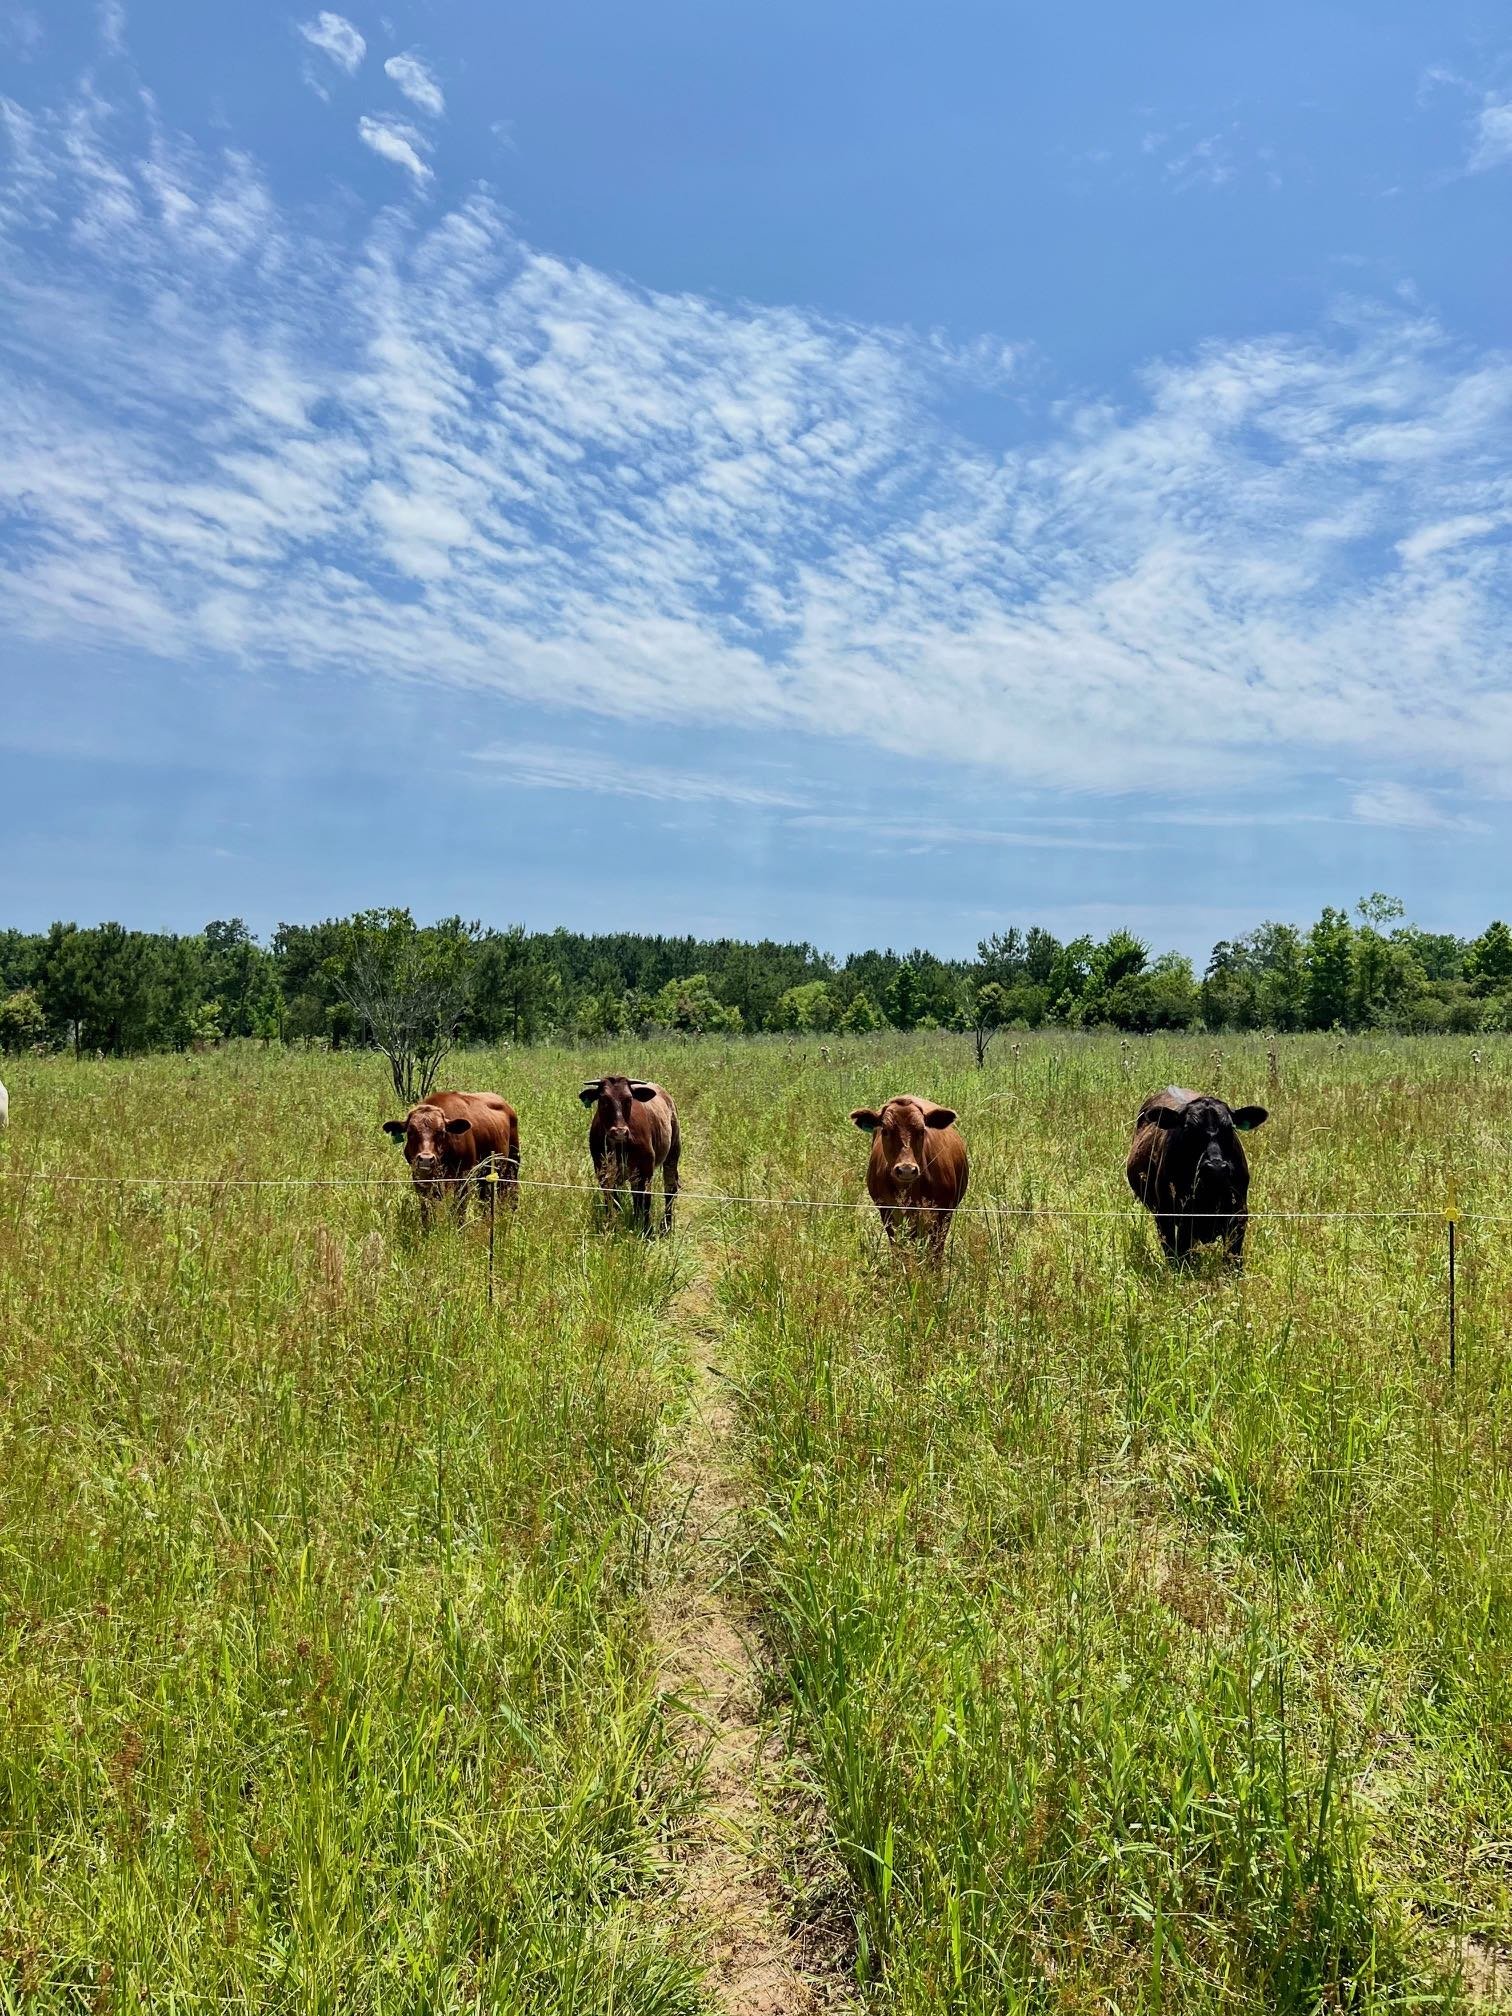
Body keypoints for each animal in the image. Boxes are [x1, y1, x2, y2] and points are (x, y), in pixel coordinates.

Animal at [381, 1090, 519, 1227]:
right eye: (410, 1132)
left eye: (441, 1132)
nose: (426, 1159)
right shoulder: (419, 1177)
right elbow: (426, 1208)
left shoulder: (462, 1177)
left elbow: (459, 1208)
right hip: (485, 1173)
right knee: (485, 1198)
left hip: (512, 1165)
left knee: (509, 1193)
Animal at [579, 1076, 680, 1234]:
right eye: (603, 1099)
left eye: (629, 1099)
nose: (619, 1131)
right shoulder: (602, 1171)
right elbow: (611, 1199)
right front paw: (611, 1227)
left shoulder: (645, 1170)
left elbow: (646, 1200)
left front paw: (647, 1231)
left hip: (673, 1152)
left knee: (669, 1189)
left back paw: (666, 1227)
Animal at [850, 1094, 969, 1256]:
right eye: (885, 1131)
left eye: (922, 1130)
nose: (906, 1169)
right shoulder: (886, 1211)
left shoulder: (943, 1213)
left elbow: (936, 1251)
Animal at [1126, 1087, 1268, 1264]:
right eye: (1188, 1129)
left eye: (1230, 1128)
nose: (1216, 1168)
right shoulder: (1168, 1214)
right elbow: (1177, 1253)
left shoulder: (1238, 1214)